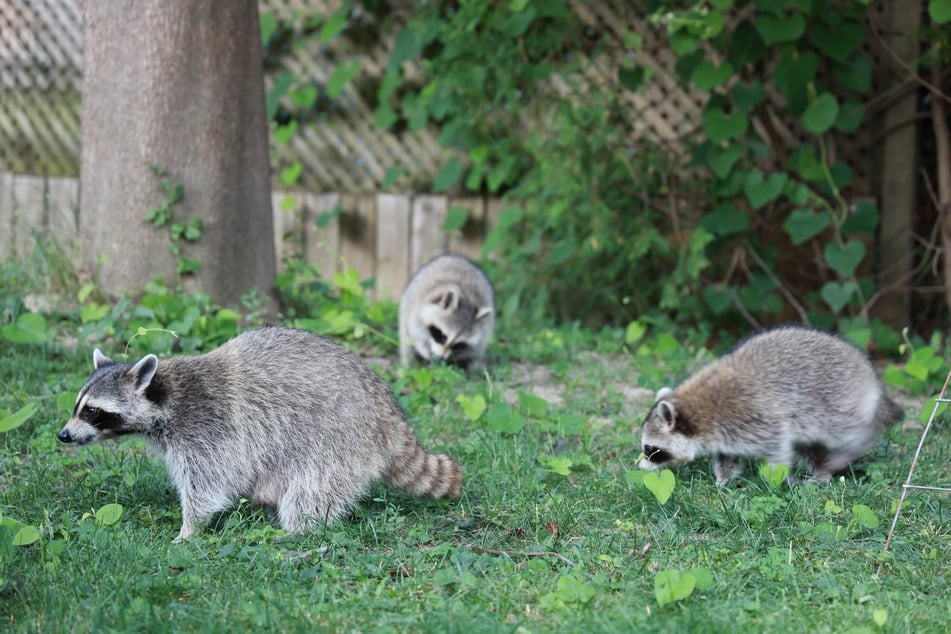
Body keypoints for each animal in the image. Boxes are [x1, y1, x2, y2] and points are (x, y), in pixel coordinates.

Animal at [57, 326, 462, 540]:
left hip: (339, 437)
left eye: (92, 411)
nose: (63, 435)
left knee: (312, 490)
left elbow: (208, 485)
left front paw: (188, 529)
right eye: (77, 405)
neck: (168, 391)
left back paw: (295, 531)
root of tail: (389, 413)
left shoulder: (209, 426)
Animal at [640, 326, 900, 484]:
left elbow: (777, 446)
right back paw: (820, 469)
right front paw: (725, 477)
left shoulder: (753, 417)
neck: (698, 411)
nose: (640, 467)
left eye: (650, 449)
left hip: (834, 401)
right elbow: (726, 455)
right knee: (810, 446)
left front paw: (777, 478)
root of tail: (869, 373)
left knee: (846, 431)